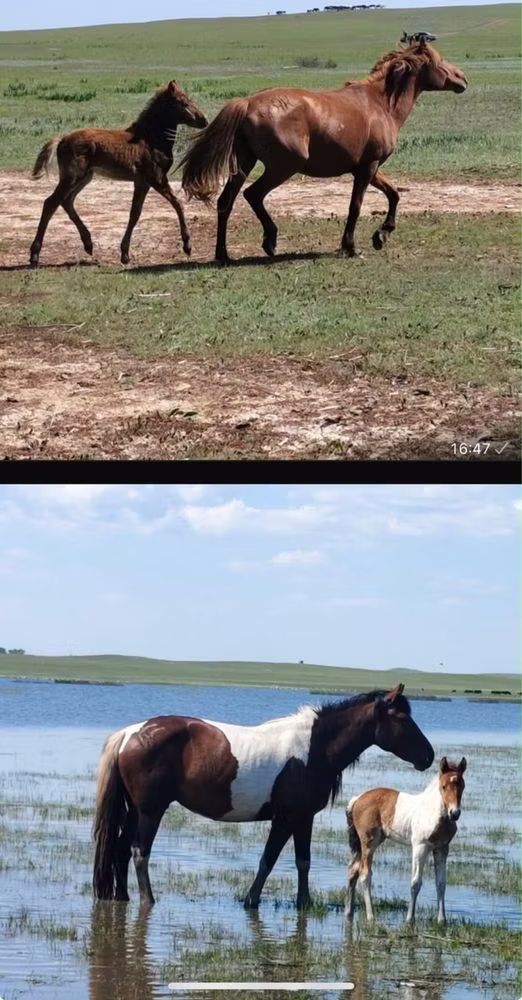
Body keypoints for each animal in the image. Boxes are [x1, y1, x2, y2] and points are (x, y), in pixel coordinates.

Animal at [29, 80, 208, 268]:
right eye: (183, 102)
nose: (204, 120)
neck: (150, 138)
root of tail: (62, 139)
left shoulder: (142, 182)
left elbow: (135, 213)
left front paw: (125, 254)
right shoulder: (156, 178)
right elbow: (178, 204)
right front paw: (187, 246)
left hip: (85, 177)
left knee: (66, 201)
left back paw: (88, 244)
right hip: (72, 176)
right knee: (51, 203)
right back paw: (34, 255)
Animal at [92, 684, 434, 908]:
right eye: (402, 718)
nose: (428, 756)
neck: (315, 748)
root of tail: (130, 733)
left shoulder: (302, 818)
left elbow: (301, 861)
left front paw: (301, 902)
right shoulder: (288, 818)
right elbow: (270, 860)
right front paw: (254, 900)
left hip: (136, 810)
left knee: (120, 850)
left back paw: (122, 896)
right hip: (151, 811)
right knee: (139, 851)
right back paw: (148, 900)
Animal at [179, 39, 467, 263]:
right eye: (440, 60)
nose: (463, 78)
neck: (381, 104)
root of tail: (248, 102)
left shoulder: (369, 169)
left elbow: (394, 195)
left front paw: (381, 235)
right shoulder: (367, 169)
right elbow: (355, 206)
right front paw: (352, 246)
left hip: (245, 163)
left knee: (225, 201)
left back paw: (223, 254)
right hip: (283, 167)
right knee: (253, 195)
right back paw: (270, 241)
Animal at [345, 755, 467, 925]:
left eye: (462, 785)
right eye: (443, 786)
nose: (454, 813)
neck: (434, 813)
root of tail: (357, 799)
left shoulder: (442, 848)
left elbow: (441, 883)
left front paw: (442, 920)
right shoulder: (420, 847)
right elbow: (415, 883)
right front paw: (410, 919)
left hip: (364, 844)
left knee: (352, 871)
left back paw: (348, 912)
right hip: (369, 843)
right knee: (365, 874)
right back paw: (371, 916)